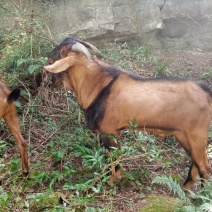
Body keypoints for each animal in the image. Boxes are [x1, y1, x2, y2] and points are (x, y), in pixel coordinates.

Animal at [44, 37, 211, 189]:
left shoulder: (110, 131)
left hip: (196, 135)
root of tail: (206, 92)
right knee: (197, 165)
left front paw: (111, 182)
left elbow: (113, 160)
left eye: (59, 54)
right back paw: (185, 189)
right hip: (182, 135)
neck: (98, 86)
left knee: (204, 169)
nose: (47, 54)